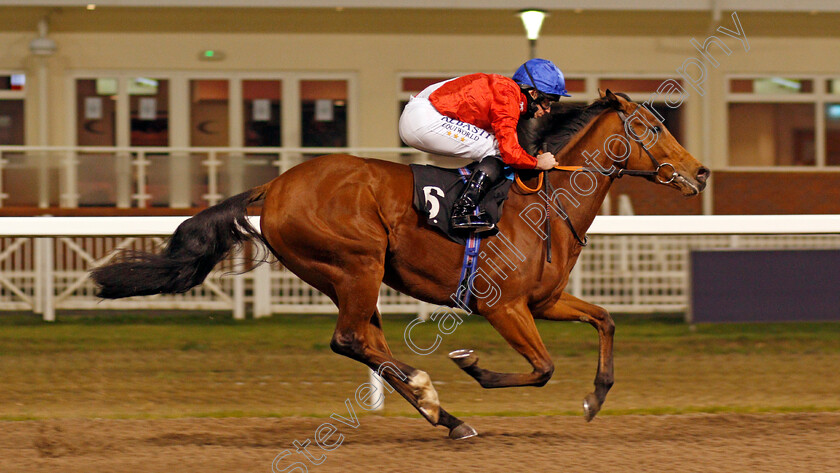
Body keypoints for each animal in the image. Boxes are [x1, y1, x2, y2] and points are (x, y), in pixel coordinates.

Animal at [90, 89, 708, 438]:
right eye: (652, 128)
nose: (700, 173)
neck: (544, 200)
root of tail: (275, 187)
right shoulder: (503, 306)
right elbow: (542, 368)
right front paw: (470, 363)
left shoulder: (544, 300)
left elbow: (605, 319)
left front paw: (595, 398)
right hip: (356, 264)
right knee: (350, 340)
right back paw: (435, 399)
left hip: (351, 276)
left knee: (368, 342)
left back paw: (444, 415)